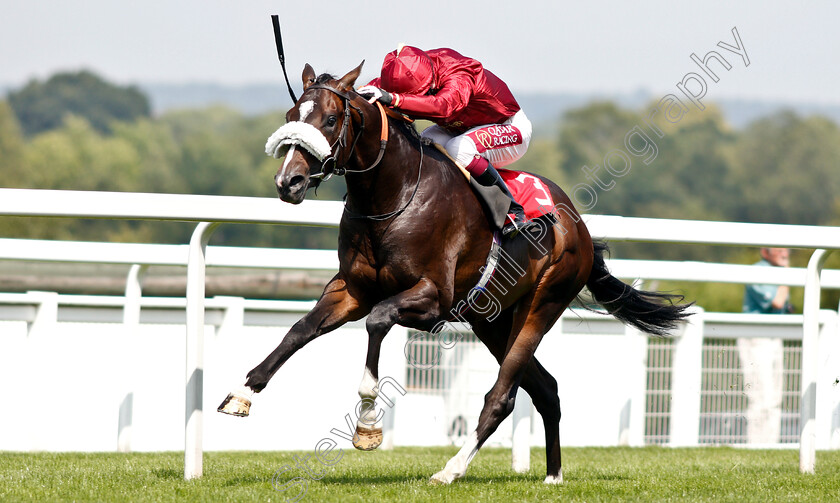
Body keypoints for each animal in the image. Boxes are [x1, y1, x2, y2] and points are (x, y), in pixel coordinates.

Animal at [218, 62, 688, 484]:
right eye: (290, 117)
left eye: (331, 119)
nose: (289, 182)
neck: (394, 196)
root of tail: (581, 229)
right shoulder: (351, 290)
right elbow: (299, 330)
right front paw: (242, 393)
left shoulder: (431, 299)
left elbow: (378, 321)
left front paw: (368, 423)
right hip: (492, 320)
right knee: (545, 388)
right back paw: (552, 475)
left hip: (542, 303)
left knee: (503, 396)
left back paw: (451, 469)